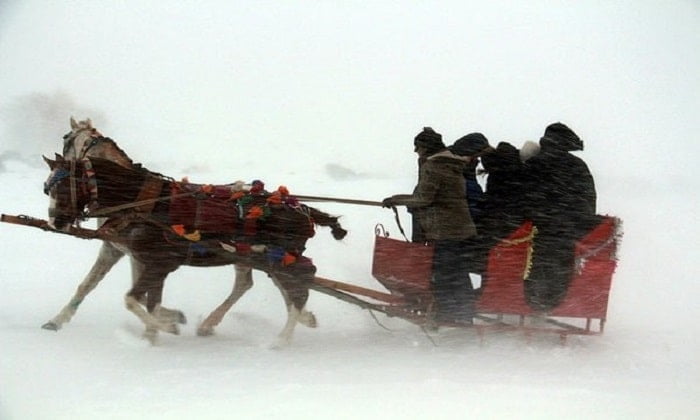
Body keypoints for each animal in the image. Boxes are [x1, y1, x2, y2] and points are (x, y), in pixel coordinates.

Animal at [43, 153, 344, 344]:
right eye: (48, 188)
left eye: (64, 186)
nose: (56, 221)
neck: (144, 203)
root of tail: (303, 208)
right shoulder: (141, 259)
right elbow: (142, 299)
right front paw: (153, 335)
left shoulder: (159, 263)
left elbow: (132, 299)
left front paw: (166, 327)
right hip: (266, 259)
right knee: (281, 287)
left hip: (280, 259)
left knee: (299, 288)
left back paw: (282, 339)